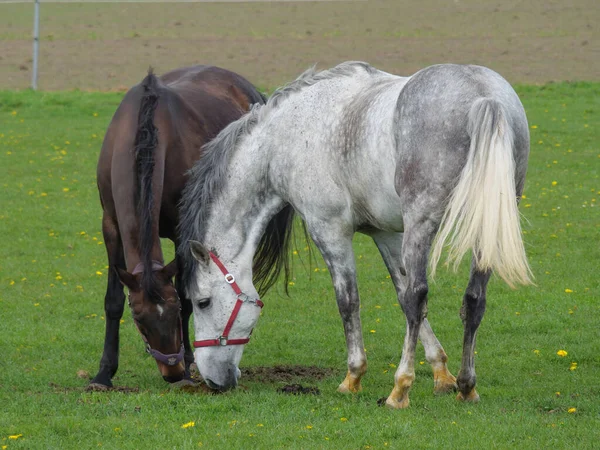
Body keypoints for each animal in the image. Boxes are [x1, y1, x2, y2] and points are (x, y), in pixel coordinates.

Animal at [91, 65, 264, 388]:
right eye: (140, 320)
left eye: (173, 314)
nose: (171, 372)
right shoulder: (110, 225)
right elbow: (113, 301)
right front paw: (104, 373)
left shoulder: (184, 233)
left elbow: (187, 295)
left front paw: (188, 366)